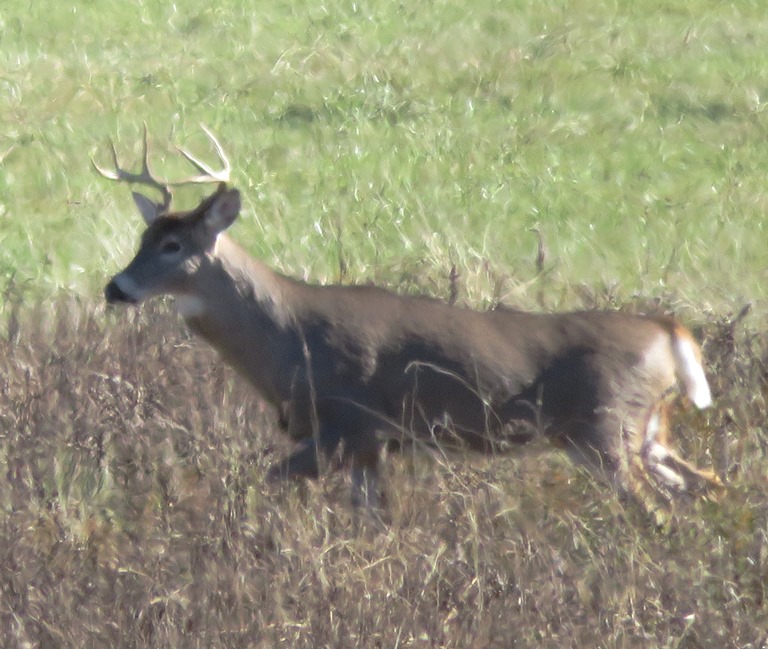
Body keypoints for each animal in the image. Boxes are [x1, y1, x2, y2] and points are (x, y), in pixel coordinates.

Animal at [93, 125, 724, 516]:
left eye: (173, 245)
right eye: (143, 238)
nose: (115, 287)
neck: (289, 342)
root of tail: (669, 332)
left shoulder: (351, 423)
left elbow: (264, 483)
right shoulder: (371, 443)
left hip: (606, 425)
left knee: (658, 509)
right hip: (647, 430)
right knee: (707, 485)